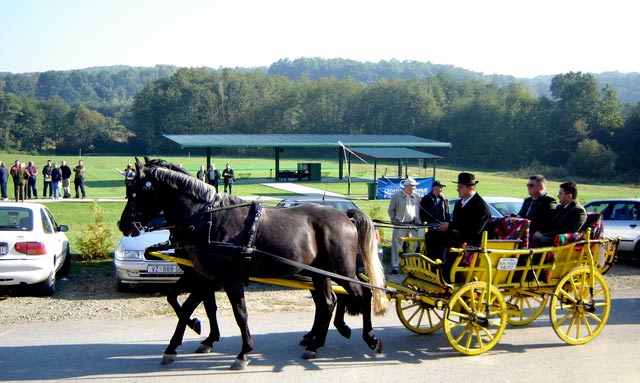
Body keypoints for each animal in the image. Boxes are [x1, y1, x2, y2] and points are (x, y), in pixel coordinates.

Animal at [120, 158, 388, 370]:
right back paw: (315, 343)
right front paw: (186, 338)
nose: (123, 224)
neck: (207, 219)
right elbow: (185, 305)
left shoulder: (229, 278)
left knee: (361, 295)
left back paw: (370, 338)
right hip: (319, 273)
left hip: (342, 270)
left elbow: (239, 313)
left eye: (137, 192)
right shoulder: (204, 276)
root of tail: (344, 215)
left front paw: (243, 351)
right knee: (328, 302)